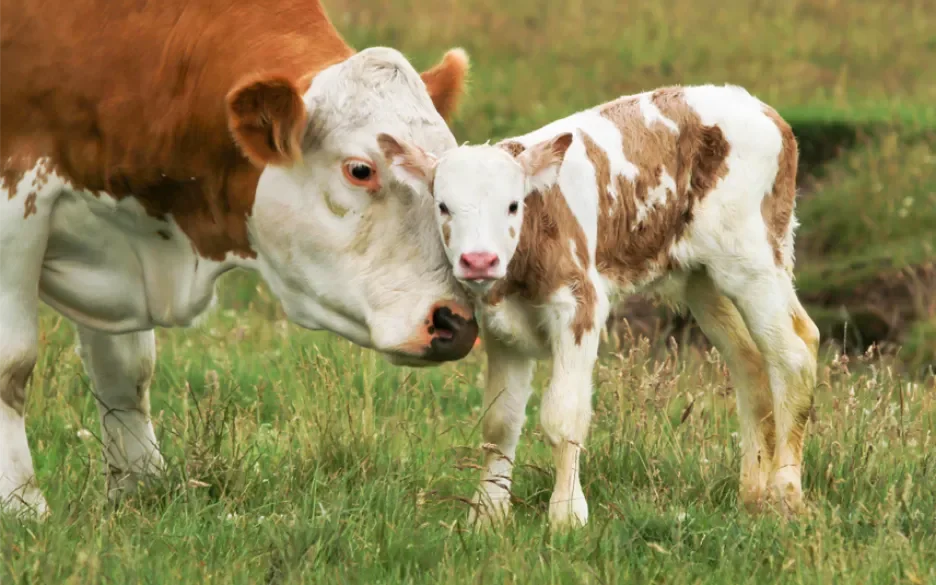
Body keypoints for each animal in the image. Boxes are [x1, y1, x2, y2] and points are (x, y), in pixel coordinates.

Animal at [0, 0, 478, 516]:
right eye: (360, 170)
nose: (455, 323)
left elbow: (125, 371)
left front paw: (140, 488)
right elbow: (13, 363)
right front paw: (20, 504)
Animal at [378, 85, 820, 528]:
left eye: (513, 205)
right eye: (442, 206)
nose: (479, 260)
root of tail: (757, 106)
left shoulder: (579, 305)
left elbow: (564, 415)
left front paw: (567, 514)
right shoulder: (501, 327)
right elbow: (499, 422)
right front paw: (487, 514)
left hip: (753, 257)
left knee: (795, 352)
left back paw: (786, 495)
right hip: (703, 278)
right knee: (749, 361)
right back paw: (752, 495)